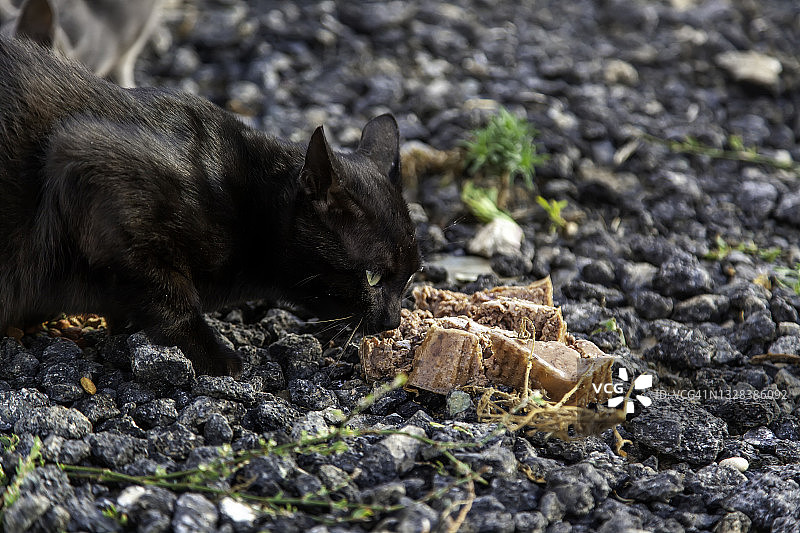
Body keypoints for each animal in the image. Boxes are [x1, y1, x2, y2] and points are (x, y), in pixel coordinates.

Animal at [0, 38, 422, 374]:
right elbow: (171, 294)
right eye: (372, 276)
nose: (392, 321)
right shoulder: (87, 163)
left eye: (412, 275)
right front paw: (217, 357)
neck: (250, 206)